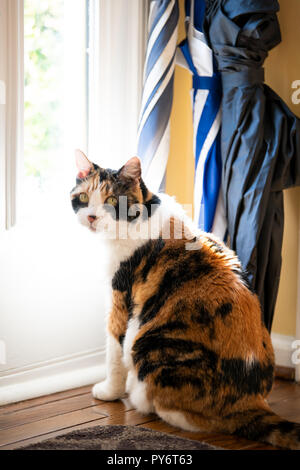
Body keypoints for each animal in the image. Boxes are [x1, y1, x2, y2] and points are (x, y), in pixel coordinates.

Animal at [71, 150, 300, 448]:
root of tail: (250, 401)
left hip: (151, 344)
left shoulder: (120, 299)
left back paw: (144, 400)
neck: (142, 217)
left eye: (111, 201)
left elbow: (113, 352)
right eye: (84, 197)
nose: (91, 217)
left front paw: (109, 391)